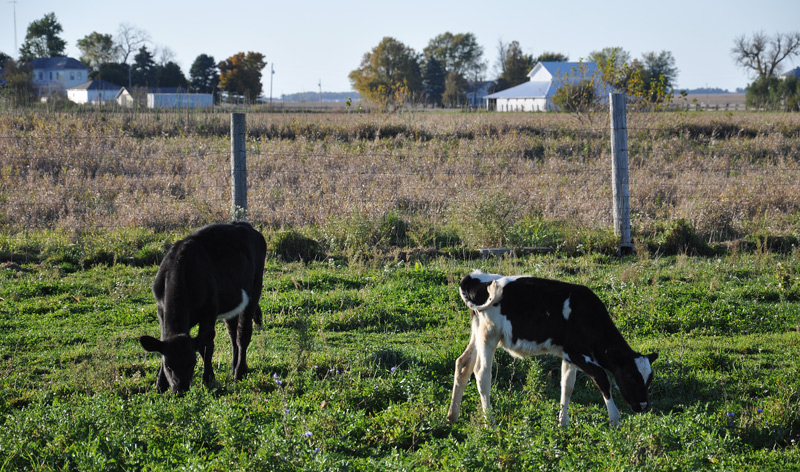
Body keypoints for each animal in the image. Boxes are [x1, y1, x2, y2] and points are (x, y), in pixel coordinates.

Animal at [139, 222, 267, 394]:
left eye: (192, 363)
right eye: (169, 366)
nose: (180, 389)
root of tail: (246, 225)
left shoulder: (210, 310)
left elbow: (206, 346)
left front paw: (209, 378)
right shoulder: (161, 311)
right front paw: (160, 385)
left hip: (254, 289)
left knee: (243, 334)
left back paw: (239, 373)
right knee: (232, 333)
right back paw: (235, 367)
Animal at [447, 270, 657, 427]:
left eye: (649, 379)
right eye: (630, 375)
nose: (643, 405)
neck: (586, 314)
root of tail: (476, 277)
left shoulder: (569, 354)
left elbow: (567, 385)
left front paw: (563, 423)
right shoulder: (578, 353)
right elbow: (602, 378)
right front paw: (615, 419)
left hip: (477, 333)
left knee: (463, 365)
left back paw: (452, 416)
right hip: (488, 336)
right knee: (482, 374)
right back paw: (490, 422)